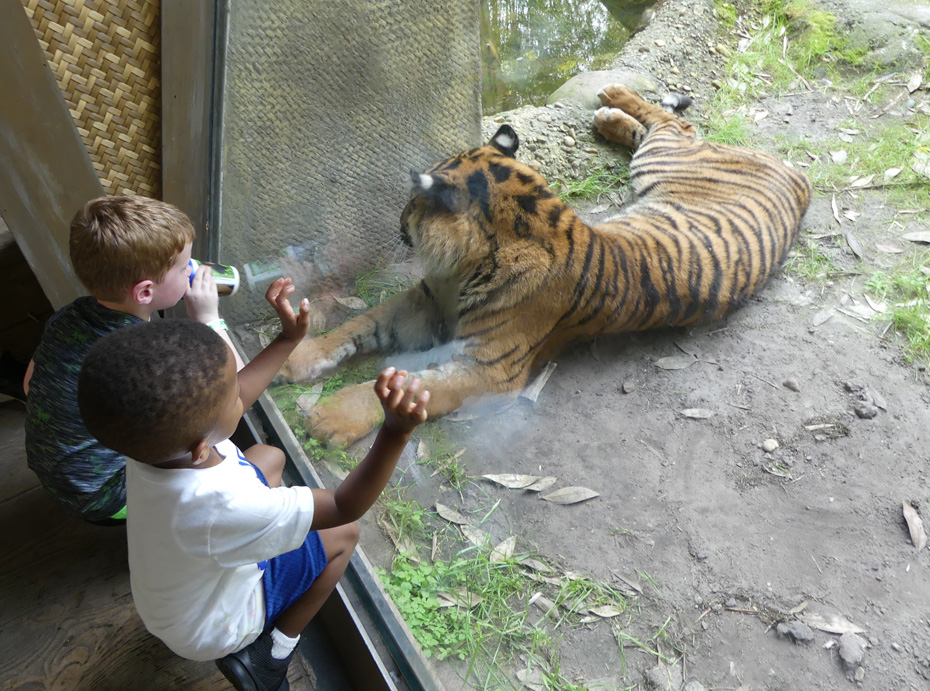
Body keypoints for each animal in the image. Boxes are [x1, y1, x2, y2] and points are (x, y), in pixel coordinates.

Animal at [280, 84, 808, 446]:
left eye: (412, 202)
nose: (398, 223)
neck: (462, 269)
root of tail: (797, 176)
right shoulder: (423, 301)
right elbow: (360, 324)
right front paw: (299, 356)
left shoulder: (488, 369)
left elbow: (407, 383)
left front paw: (329, 417)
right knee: (665, 126)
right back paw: (607, 111)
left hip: (667, 158)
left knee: (673, 125)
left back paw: (611, 97)